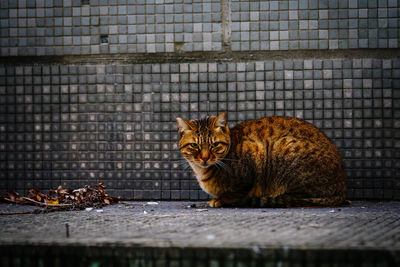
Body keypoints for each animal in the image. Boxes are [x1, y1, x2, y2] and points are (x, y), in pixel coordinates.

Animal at [175, 112, 346, 208]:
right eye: (194, 145)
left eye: (215, 145)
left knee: (297, 198)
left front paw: (221, 199)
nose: (204, 157)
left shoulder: (254, 152)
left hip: (283, 149)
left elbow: (237, 191)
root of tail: (342, 189)